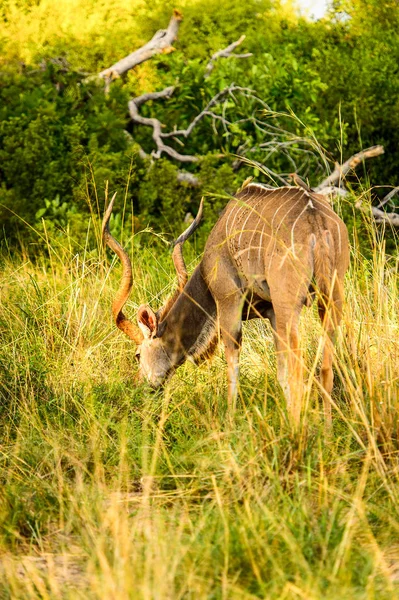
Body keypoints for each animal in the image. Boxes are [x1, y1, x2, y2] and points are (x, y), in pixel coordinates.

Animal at [103, 185, 350, 424]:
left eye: (137, 355)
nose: (138, 386)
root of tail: (315, 219)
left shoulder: (228, 302)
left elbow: (233, 370)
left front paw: (230, 424)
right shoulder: (271, 312)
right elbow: (281, 375)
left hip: (288, 304)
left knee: (299, 367)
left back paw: (298, 431)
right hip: (331, 298)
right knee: (325, 369)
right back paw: (326, 431)